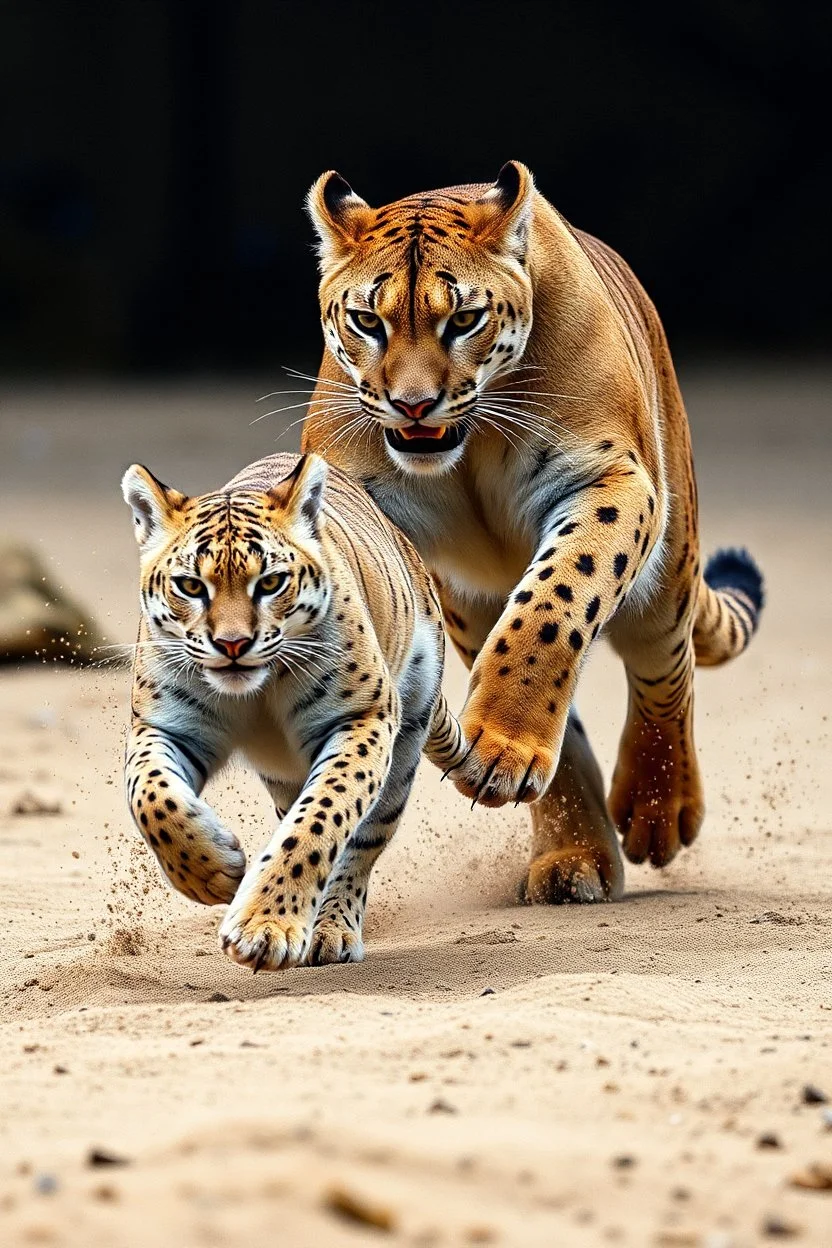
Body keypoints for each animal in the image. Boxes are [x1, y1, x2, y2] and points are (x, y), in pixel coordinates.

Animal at [120, 454, 461, 968]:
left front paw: (266, 925)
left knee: (361, 843)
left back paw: (331, 930)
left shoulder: (361, 717)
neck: (256, 694)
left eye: (271, 582)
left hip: (404, 742)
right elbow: (150, 796)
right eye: (191, 586)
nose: (232, 644)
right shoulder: (166, 727)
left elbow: (320, 819)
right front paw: (213, 873)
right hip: (283, 775)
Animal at [303, 160, 763, 903]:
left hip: (670, 566)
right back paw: (565, 850)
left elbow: (553, 607)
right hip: (467, 605)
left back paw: (656, 812)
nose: (412, 404)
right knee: (571, 732)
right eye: (368, 321)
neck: (470, 444)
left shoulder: (607, 480)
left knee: (665, 670)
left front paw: (505, 736)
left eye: (463, 319)